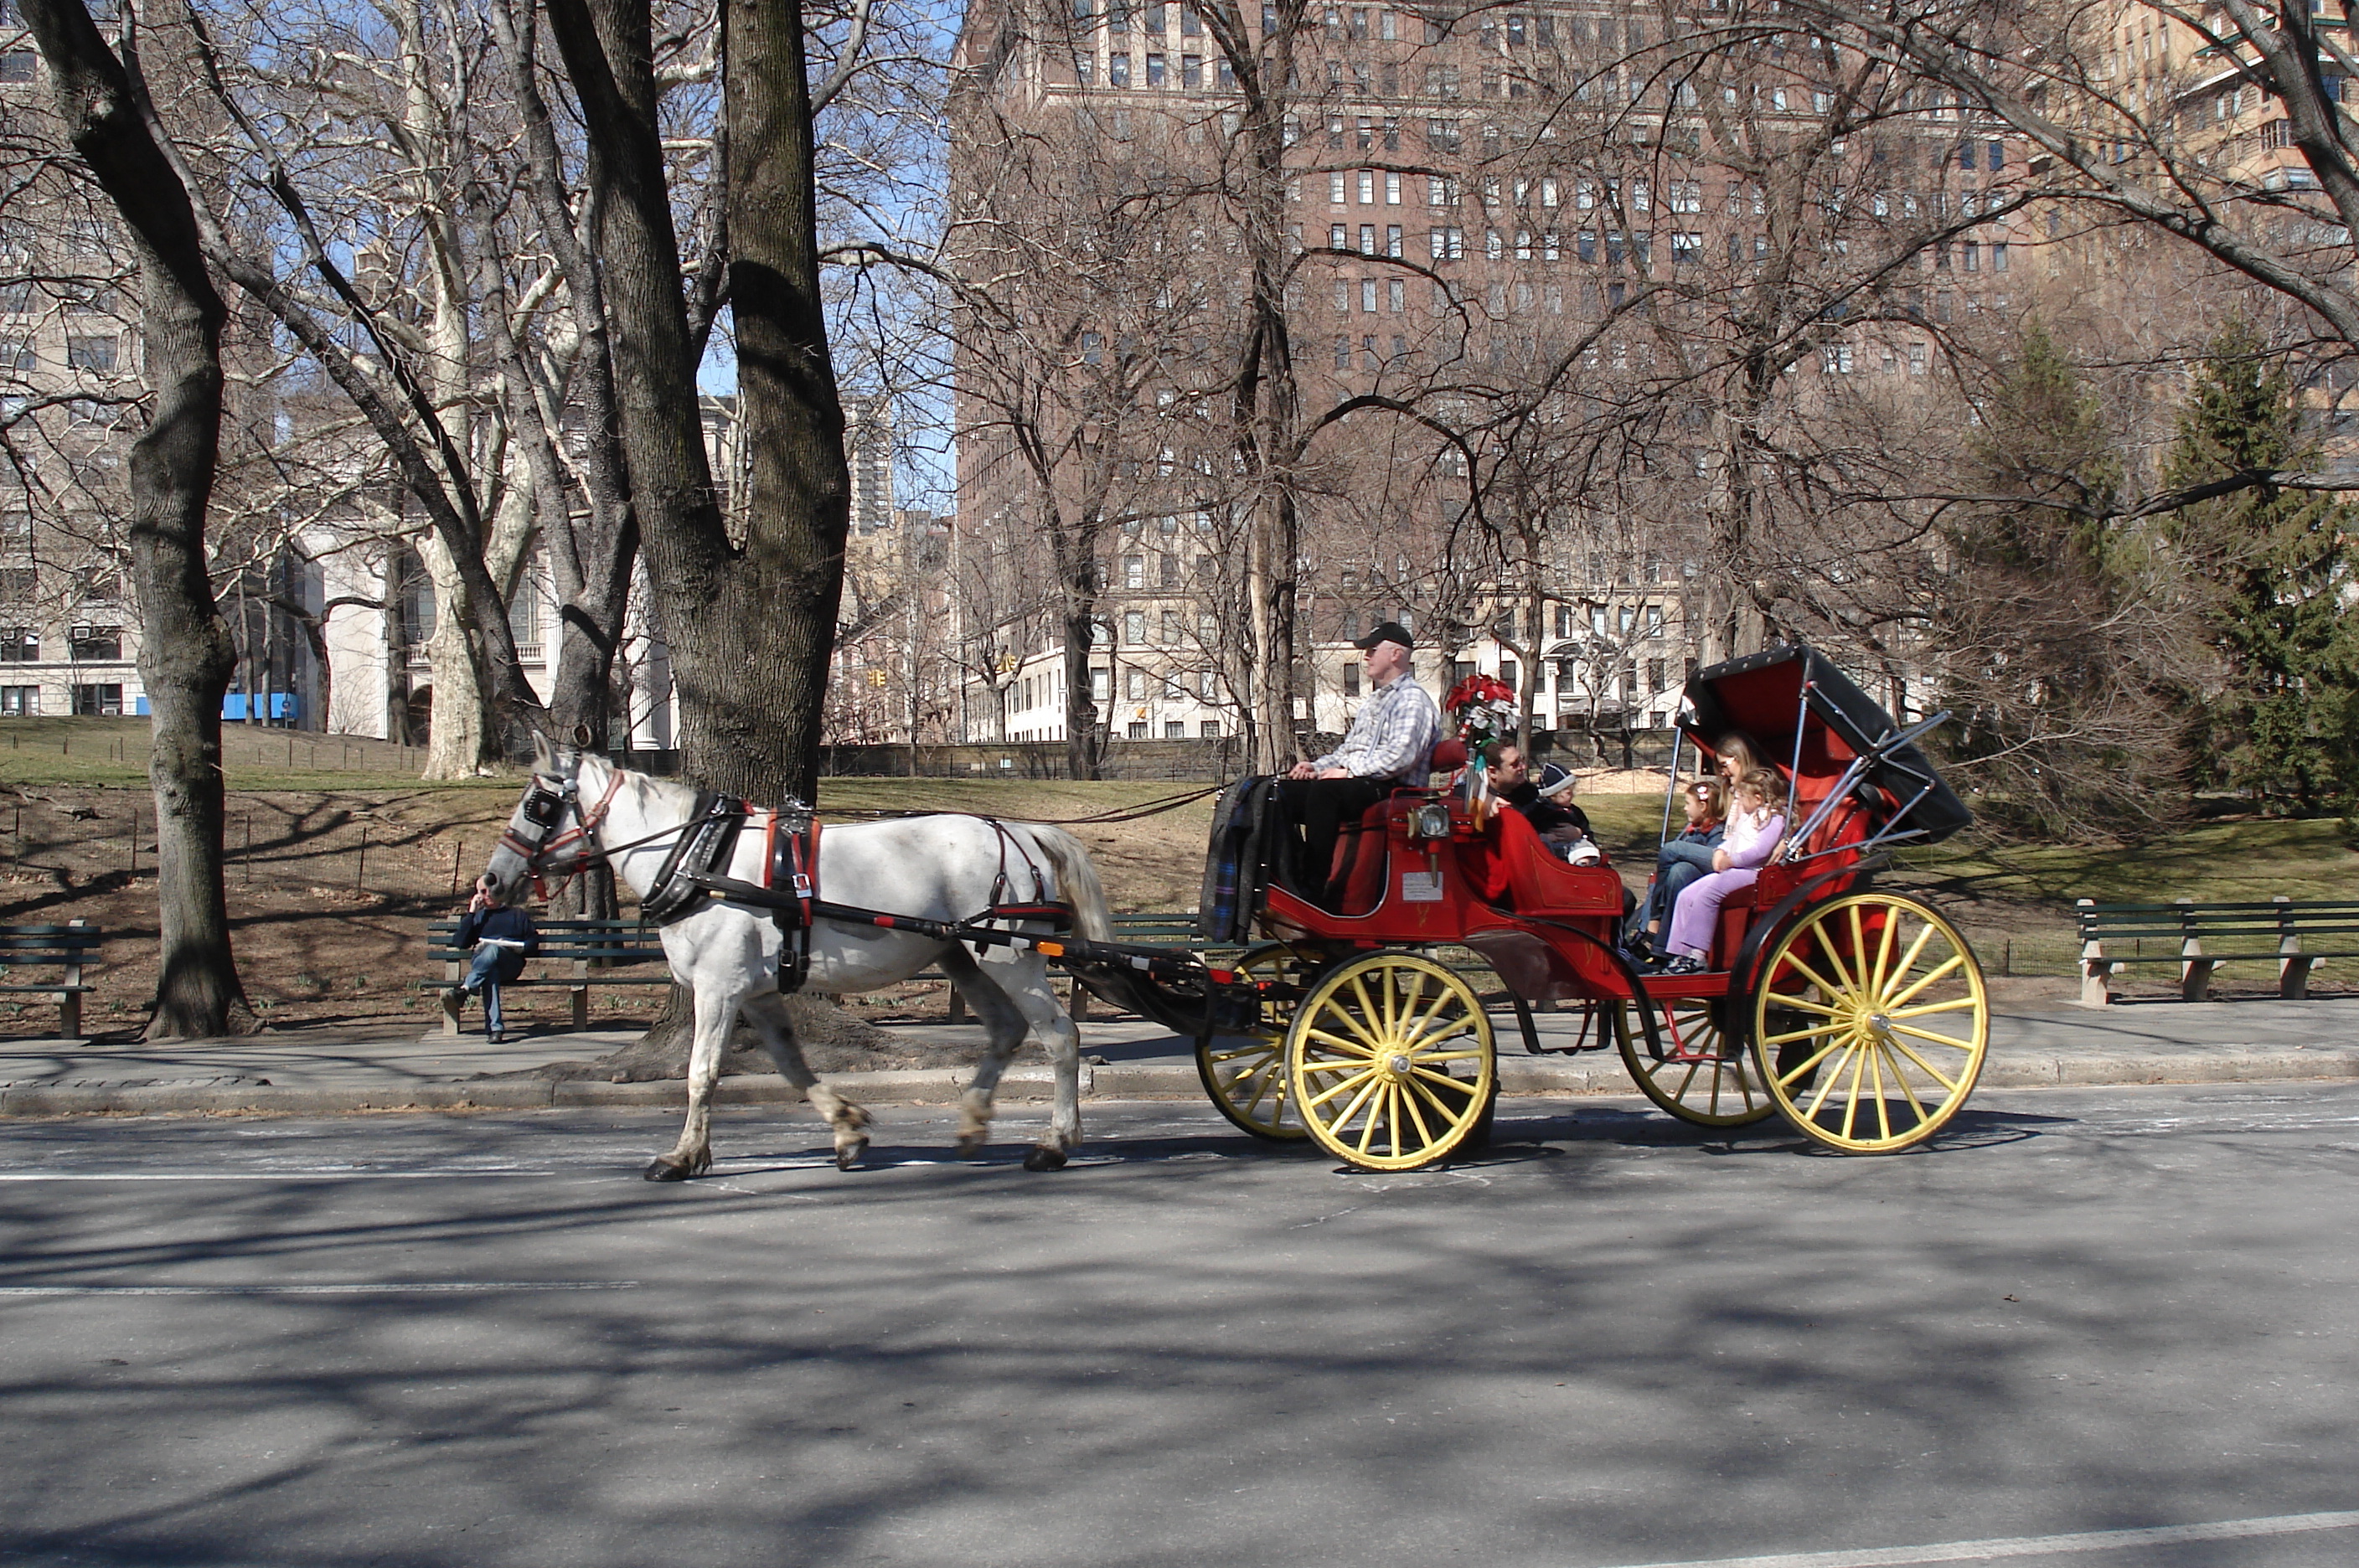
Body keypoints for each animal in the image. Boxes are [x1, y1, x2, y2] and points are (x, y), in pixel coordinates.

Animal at [481, 745, 1113, 1173]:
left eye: (538, 804)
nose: (490, 882)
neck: (697, 862)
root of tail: (1023, 831)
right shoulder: (757, 993)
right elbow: (791, 1065)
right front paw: (847, 1128)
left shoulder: (718, 987)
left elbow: (701, 1073)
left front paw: (684, 1155)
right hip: (961, 953)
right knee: (1006, 1030)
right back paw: (972, 1122)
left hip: (1013, 957)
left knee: (1060, 1036)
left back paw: (1056, 1142)